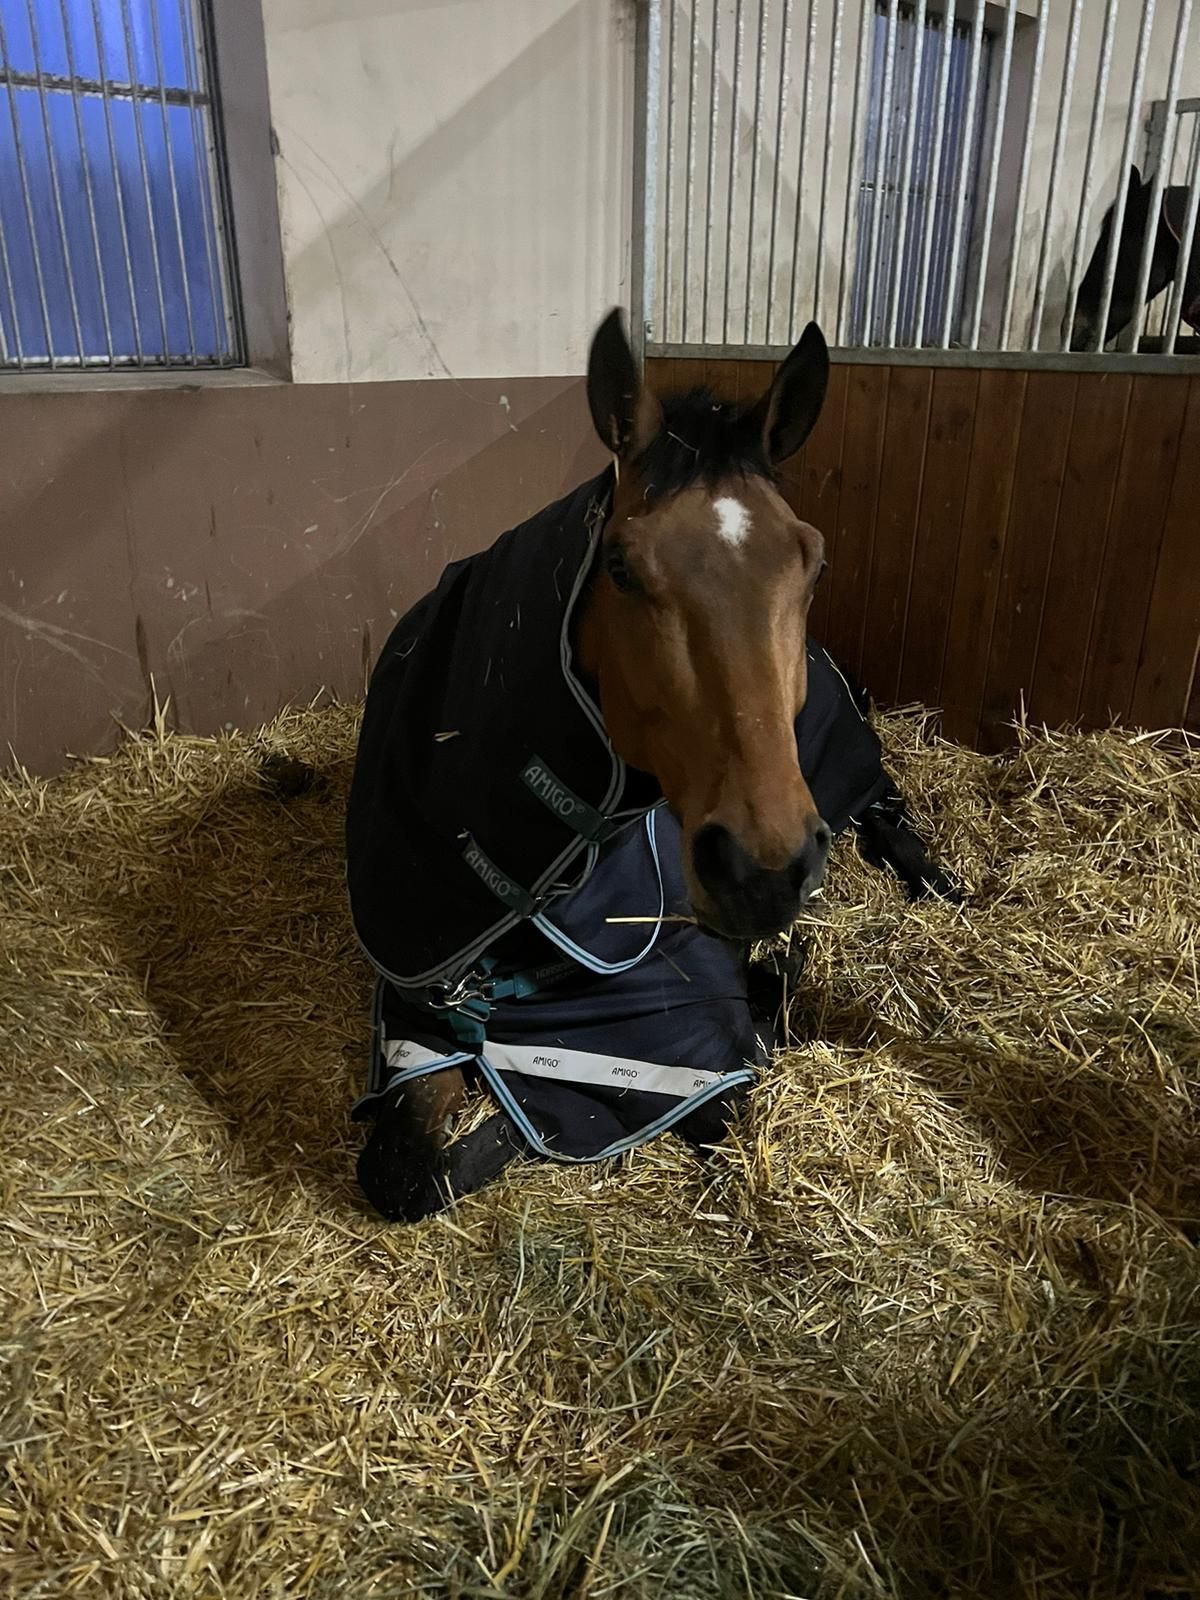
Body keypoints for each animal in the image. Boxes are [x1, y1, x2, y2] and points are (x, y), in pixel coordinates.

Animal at [345, 309, 959, 1223]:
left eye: (812, 561)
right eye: (622, 568)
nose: (762, 871)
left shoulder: (689, 1038)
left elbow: (722, 1093)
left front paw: (781, 983)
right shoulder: (422, 1025)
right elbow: (405, 1169)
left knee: (888, 812)